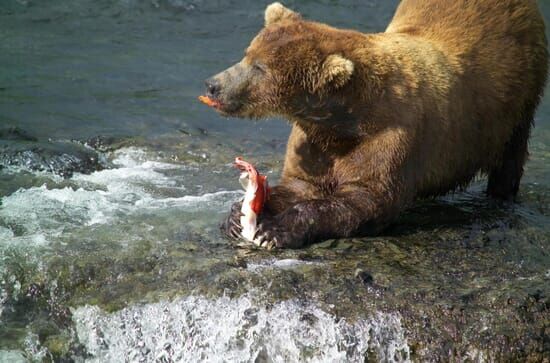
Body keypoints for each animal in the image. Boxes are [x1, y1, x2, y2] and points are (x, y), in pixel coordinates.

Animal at [205, 0, 548, 249]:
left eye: (260, 68)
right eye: (248, 54)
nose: (213, 85)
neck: (344, 119)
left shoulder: (390, 136)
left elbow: (367, 199)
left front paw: (274, 230)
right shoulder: (314, 141)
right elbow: (300, 184)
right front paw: (237, 214)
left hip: (519, 94)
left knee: (511, 153)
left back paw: (500, 197)